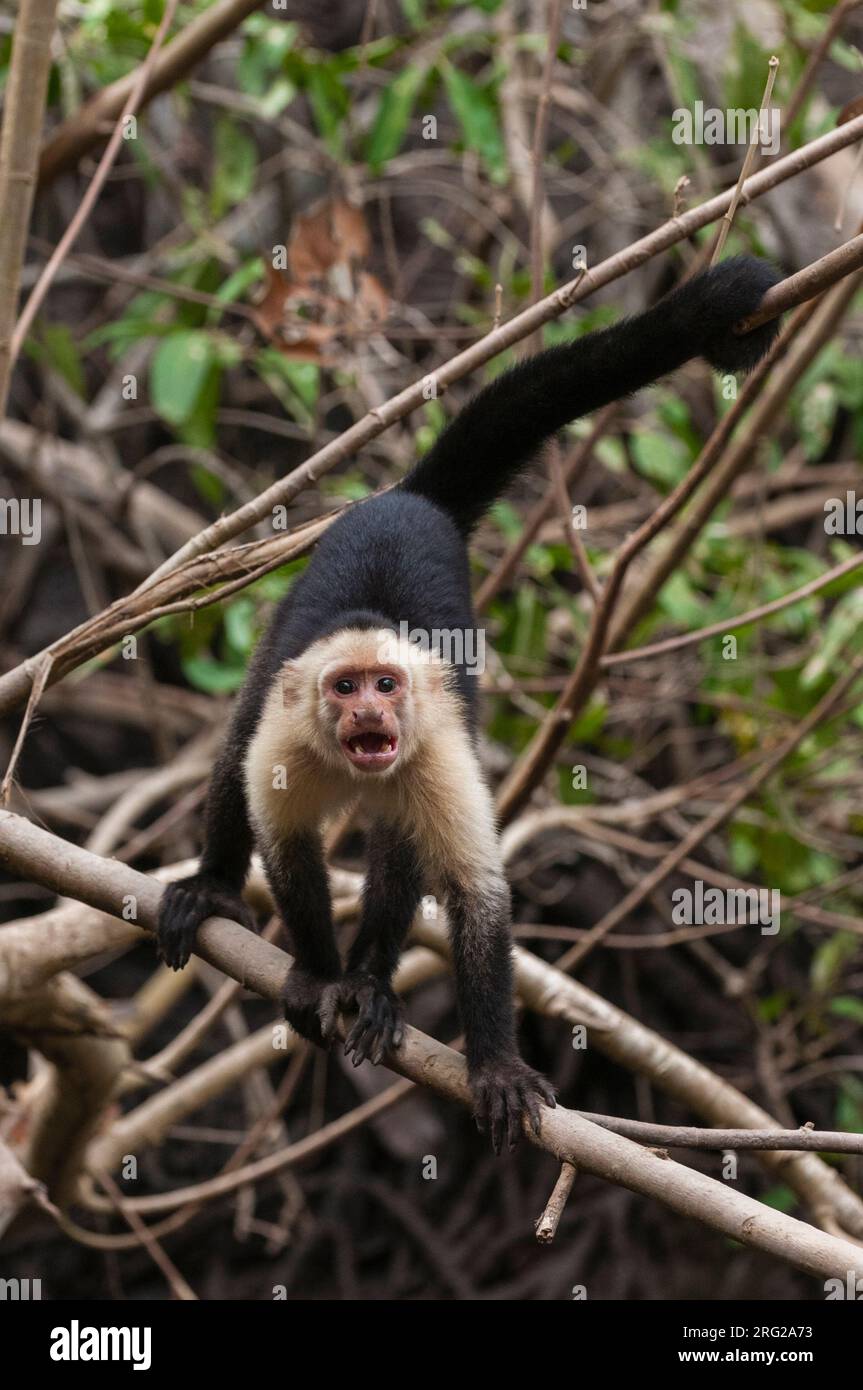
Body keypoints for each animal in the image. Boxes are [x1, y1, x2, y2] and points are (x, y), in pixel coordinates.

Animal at [154, 258, 778, 1150]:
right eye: (344, 686)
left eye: (385, 684)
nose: (365, 714)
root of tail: (408, 498)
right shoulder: (291, 740)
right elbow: (286, 840)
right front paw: (314, 972)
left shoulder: (435, 751)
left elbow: (475, 895)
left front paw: (491, 1064)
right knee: (239, 742)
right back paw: (215, 892)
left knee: (400, 841)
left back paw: (372, 985)